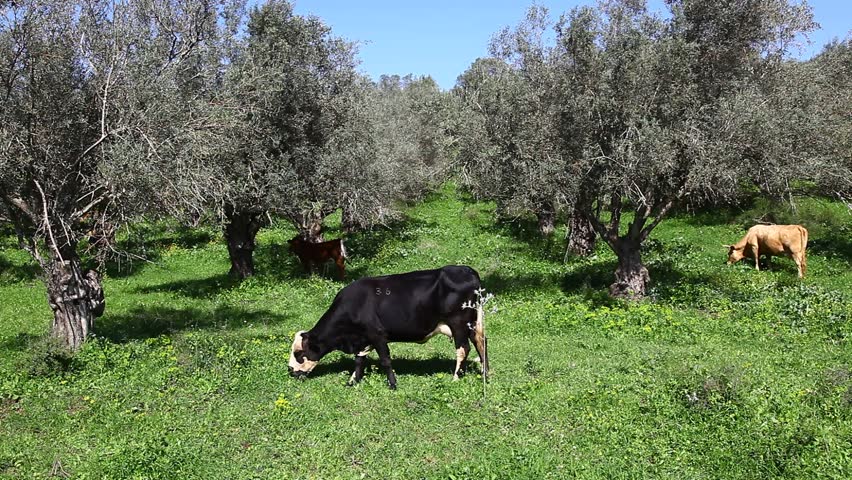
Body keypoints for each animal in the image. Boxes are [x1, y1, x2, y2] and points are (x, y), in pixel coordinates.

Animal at [288, 265, 489, 389]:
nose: (290, 370)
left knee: (463, 349)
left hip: (458, 324)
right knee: (481, 342)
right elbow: (359, 360)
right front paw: (353, 381)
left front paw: (392, 384)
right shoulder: (362, 339)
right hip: (473, 324)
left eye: (299, 353)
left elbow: (385, 360)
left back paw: (456, 377)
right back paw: (485, 373)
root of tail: (467, 270)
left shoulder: (377, 335)